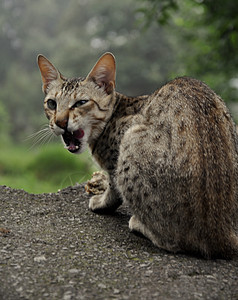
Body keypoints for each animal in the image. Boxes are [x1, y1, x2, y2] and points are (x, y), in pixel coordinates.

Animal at [37, 51, 238, 258]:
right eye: (51, 104)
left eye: (81, 102)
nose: (60, 122)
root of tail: (223, 236)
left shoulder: (117, 158)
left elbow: (114, 190)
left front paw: (101, 202)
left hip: (131, 141)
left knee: (173, 241)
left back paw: (139, 224)